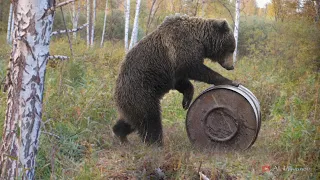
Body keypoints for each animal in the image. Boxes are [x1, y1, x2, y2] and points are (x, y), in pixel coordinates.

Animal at [112, 14, 238, 146]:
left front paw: (186, 102)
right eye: (231, 49)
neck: (201, 40)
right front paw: (229, 81)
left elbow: (181, 82)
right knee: (150, 119)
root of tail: (117, 92)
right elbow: (195, 68)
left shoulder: (172, 71)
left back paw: (121, 134)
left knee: (132, 120)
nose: (231, 66)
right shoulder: (182, 50)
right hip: (141, 91)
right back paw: (156, 143)